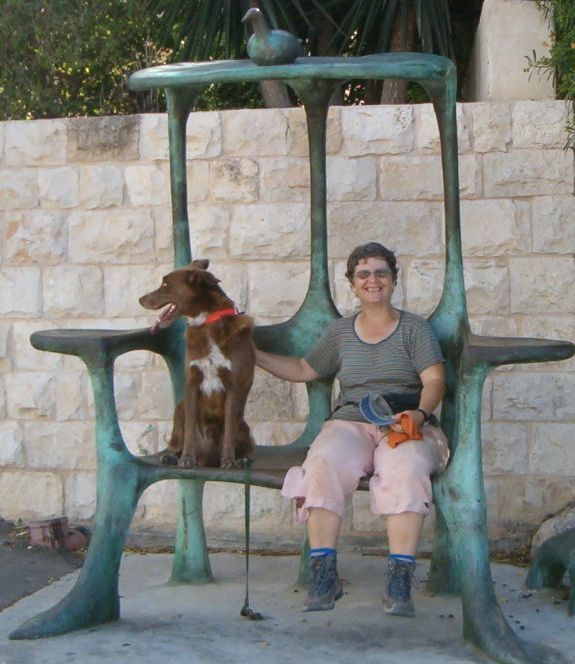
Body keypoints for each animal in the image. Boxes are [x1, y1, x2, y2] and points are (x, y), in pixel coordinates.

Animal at [140, 256, 254, 470]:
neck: (207, 323)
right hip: (180, 408)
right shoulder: (191, 382)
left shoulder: (233, 386)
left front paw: (229, 461)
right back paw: (171, 456)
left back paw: (241, 460)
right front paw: (186, 458)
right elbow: (190, 430)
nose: (140, 299)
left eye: (165, 284)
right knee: (177, 439)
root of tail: (206, 458)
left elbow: (228, 432)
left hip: (244, 427)